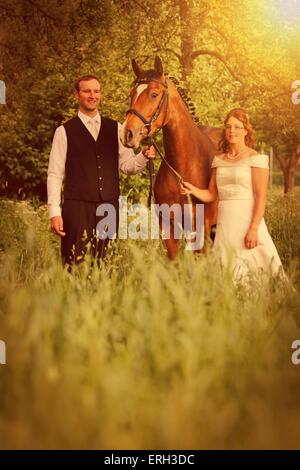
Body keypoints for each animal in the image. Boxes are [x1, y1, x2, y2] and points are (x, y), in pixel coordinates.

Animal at [120, 57, 221, 260]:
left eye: (154, 94)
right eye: (132, 93)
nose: (127, 134)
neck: (183, 167)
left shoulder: (202, 229)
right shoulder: (169, 227)